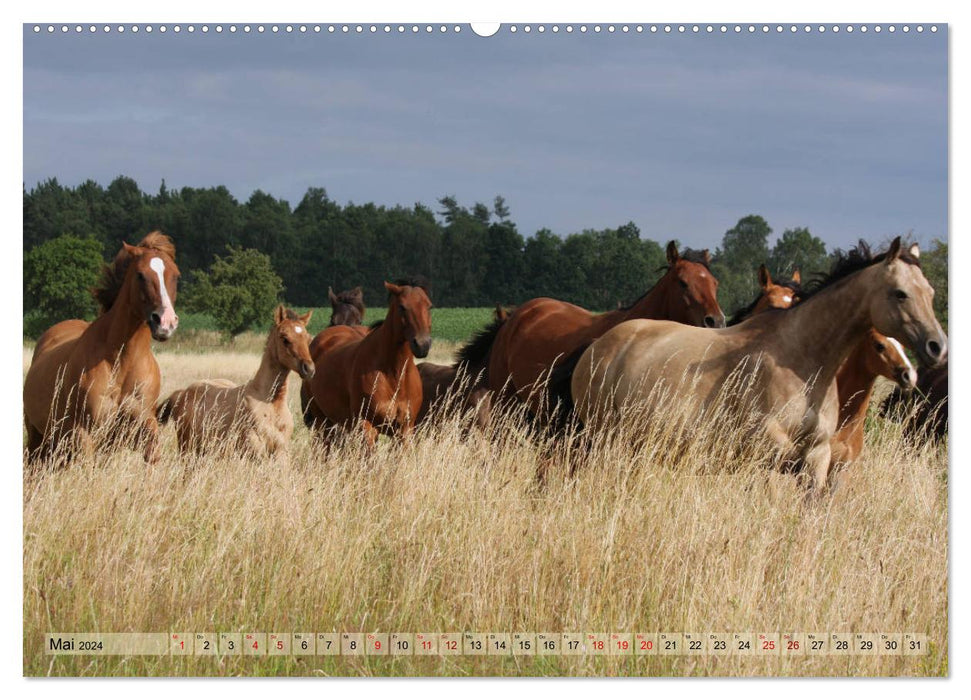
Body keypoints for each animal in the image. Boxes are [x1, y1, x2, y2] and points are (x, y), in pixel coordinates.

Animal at [23, 232, 180, 464]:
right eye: (140, 275)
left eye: (176, 276)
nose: (165, 322)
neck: (121, 362)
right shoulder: (85, 432)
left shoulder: (140, 424)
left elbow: (153, 454)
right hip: (37, 436)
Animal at [158, 304, 314, 456]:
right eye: (284, 338)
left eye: (307, 339)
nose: (309, 369)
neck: (271, 404)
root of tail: (182, 393)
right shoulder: (253, 450)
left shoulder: (281, 452)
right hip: (187, 448)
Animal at [298, 278, 430, 446]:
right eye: (402, 306)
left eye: (428, 306)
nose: (422, 344)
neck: (393, 374)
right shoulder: (367, 427)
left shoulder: (404, 430)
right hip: (322, 423)